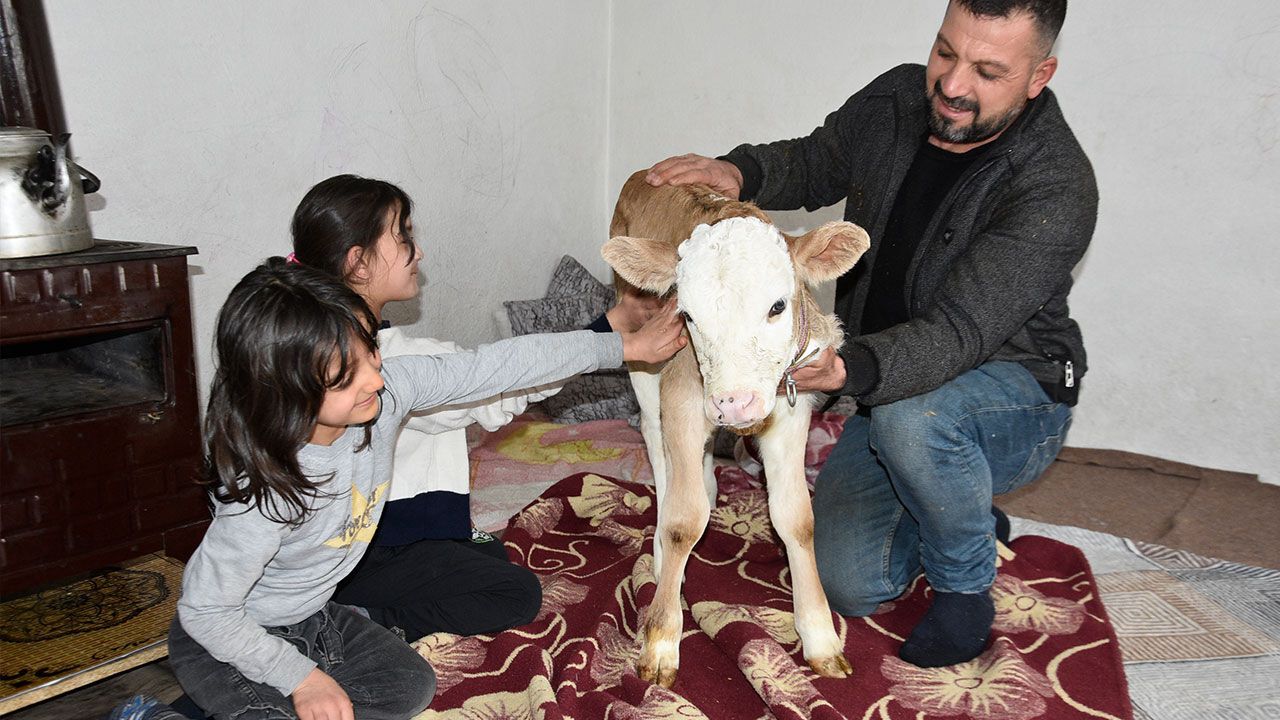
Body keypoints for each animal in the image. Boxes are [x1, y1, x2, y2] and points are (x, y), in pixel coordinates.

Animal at [602, 170, 871, 687]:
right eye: (687, 315)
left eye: (778, 306)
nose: (733, 402)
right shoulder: (683, 399)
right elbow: (683, 521)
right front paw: (661, 641)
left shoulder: (791, 411)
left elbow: (797, 519)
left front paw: (821, 637)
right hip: (642, 363)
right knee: (659, 454)